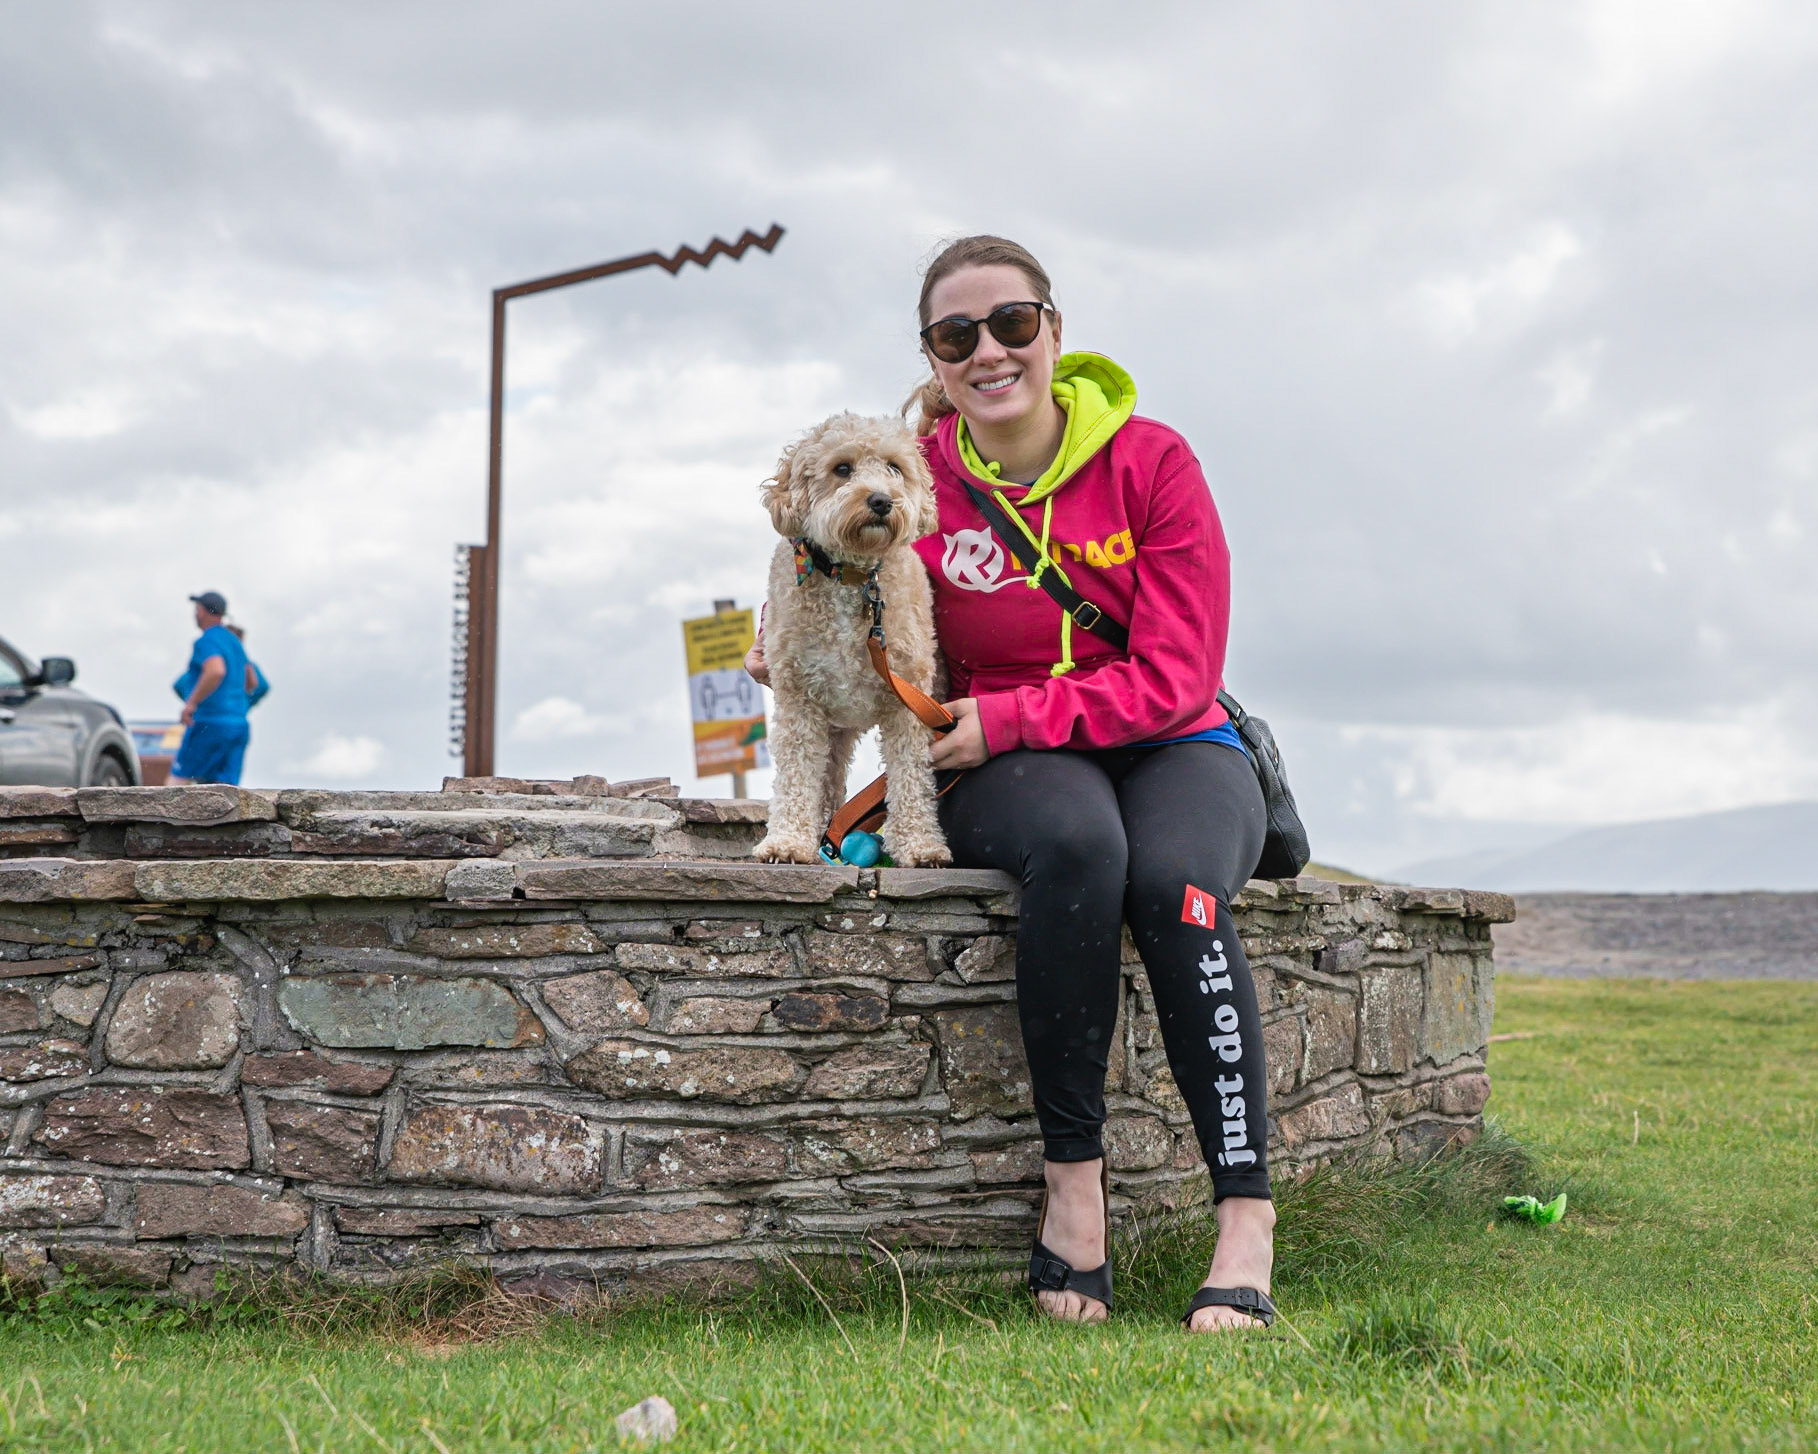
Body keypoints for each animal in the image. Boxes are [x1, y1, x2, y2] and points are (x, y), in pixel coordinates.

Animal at [750, 412, 952, 868]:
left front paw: (919, 844)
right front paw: (787, 841)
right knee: (828, 781)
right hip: (833, 731)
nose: (880, 501)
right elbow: (796, 773)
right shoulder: (799, 698)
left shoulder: (908, 699)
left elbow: (910, 775)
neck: (854, 577)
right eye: (842, 468)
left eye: (895, 467)